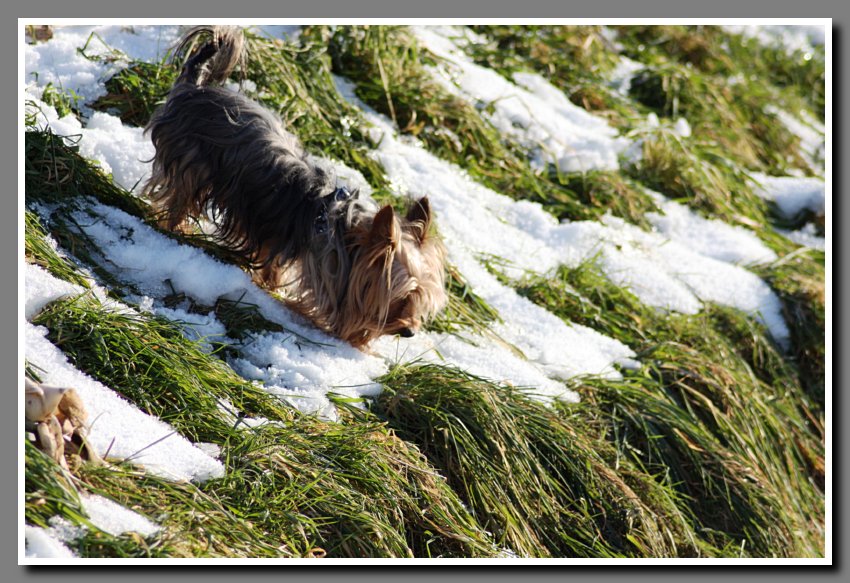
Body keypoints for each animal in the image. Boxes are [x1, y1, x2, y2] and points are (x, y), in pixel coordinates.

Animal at [144, 26, 450, 346]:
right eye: (400, 298)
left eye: (420, 301)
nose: (410, 331)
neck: (348, 231)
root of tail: (196, 87)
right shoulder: (329, 275)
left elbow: (272, 263)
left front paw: (269, 284)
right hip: (189, 163)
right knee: (177, 197)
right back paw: (176, 227)